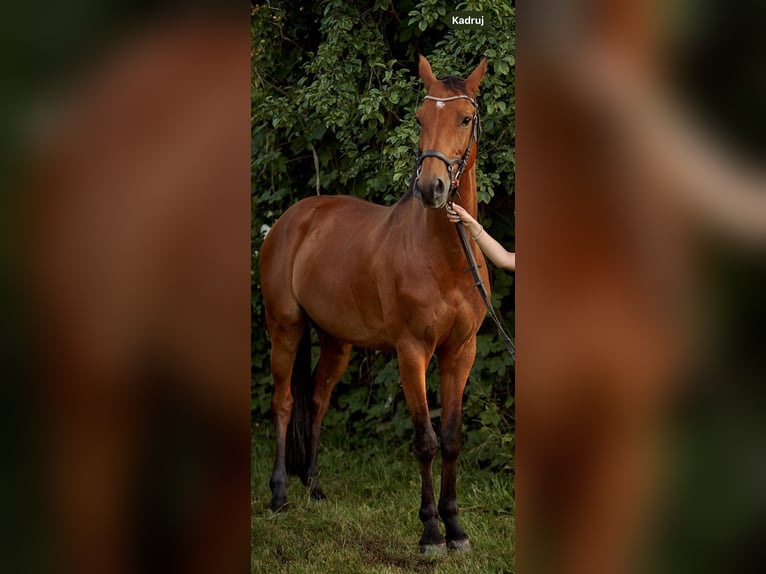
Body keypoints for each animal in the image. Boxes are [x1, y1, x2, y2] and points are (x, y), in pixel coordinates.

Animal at [260, 56, 492, 556]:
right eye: (420, 118)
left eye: (465, 118)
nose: (432, 188)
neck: (443, 255)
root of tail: (292, 218)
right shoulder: (412, 353)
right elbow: (425, 441)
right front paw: (430, 533)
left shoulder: (461, 352)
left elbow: (451, 439)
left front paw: (456, 529)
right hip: (284, 329)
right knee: (284, 401)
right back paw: (280, 495)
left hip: (337, 342)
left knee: (319, 400)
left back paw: (315, 489)